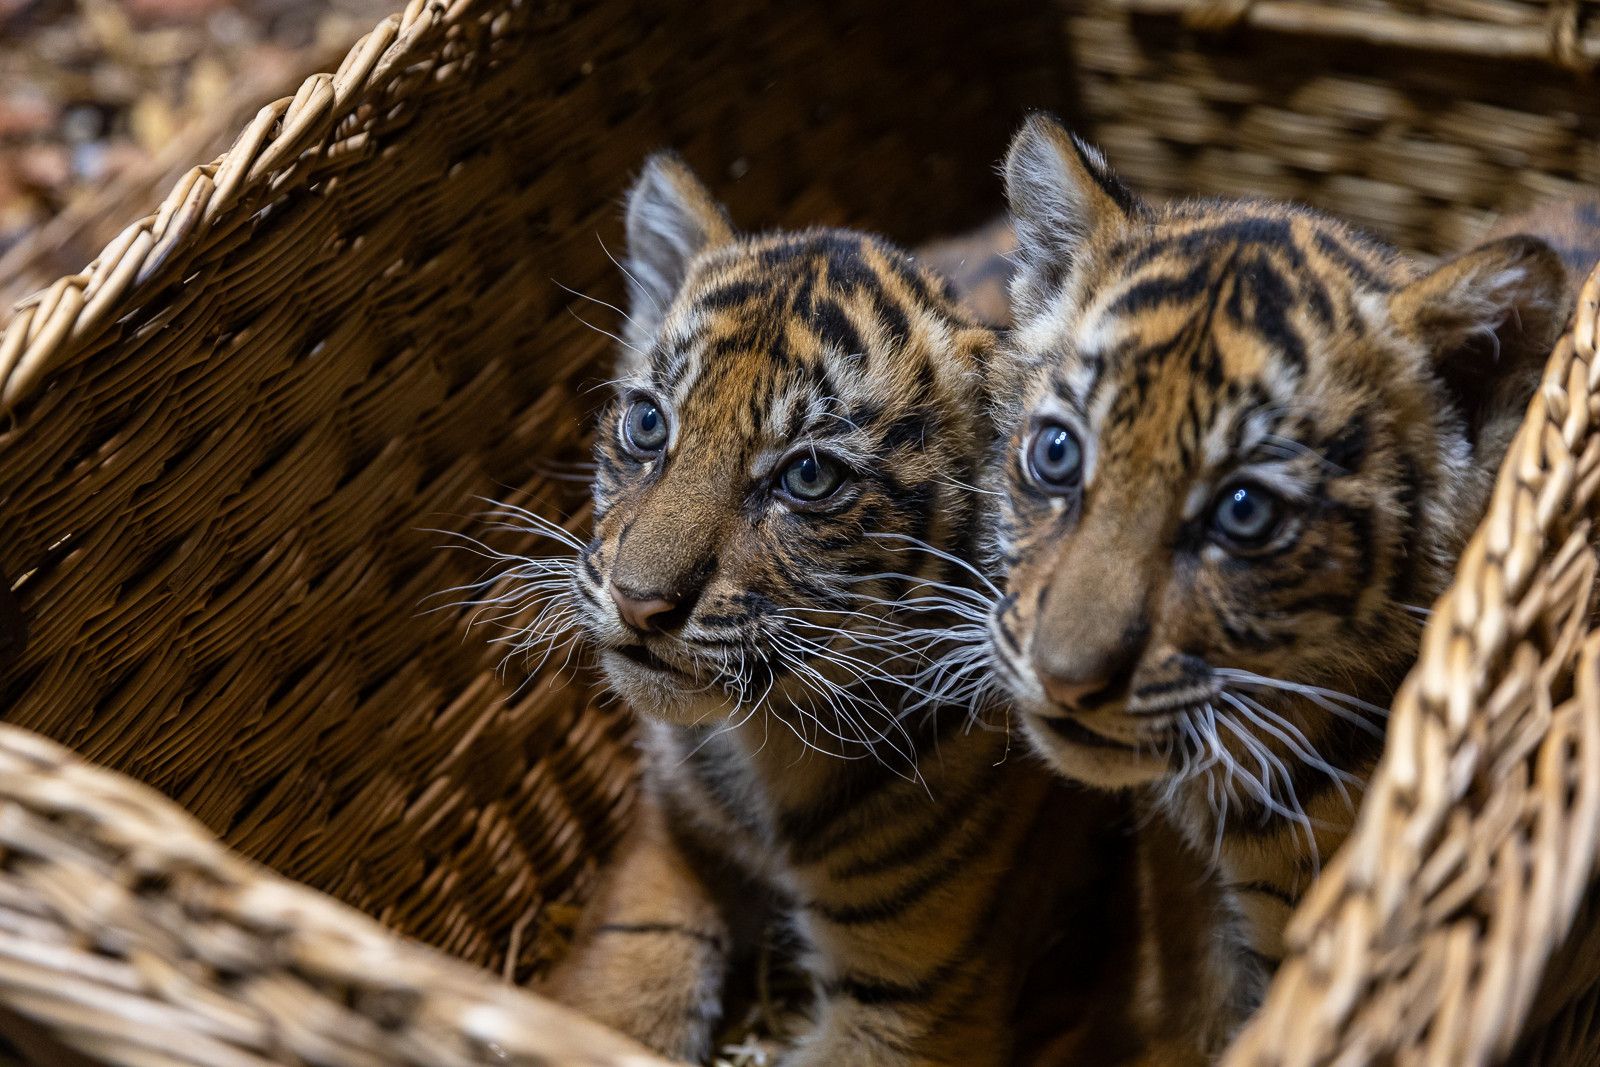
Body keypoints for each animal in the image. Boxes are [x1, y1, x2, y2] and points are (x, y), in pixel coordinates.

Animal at [534, 151, 1131, 1067]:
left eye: (808, 476)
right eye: (647, 423)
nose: (638, 603)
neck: (767, 741)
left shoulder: (909, 999)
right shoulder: (666, 846)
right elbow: (616, 991)